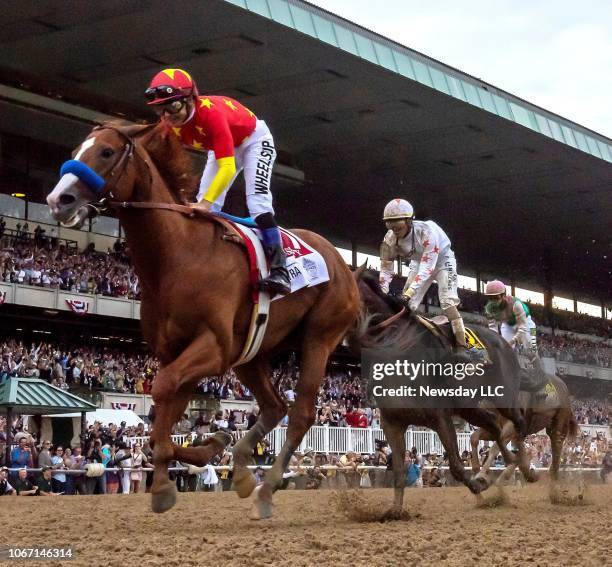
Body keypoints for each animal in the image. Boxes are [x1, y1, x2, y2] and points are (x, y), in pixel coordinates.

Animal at [51, 122, 364, 516]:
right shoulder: (177, 353)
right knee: (275, 406)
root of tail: (343, 264)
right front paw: (207, 448)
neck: (178, 254)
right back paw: (244, 471)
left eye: (106, 152)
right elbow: (163, 417)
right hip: (252, 353)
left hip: (318, 339)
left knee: (302, 412)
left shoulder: (213, 348)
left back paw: (266, 488)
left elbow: (162, 392)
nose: (58, 200)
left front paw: (168, 480)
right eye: (76, 150)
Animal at [352, 270, 532, 520]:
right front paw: (395, 511)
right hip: (468, 407)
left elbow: (455, 465)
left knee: (517, 422)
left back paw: (520, 464)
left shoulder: (440, 417)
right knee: (494, 426)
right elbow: (398, 471)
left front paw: (477, 486)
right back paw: (504, 464)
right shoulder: (392, 422)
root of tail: (505, 343)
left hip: (501, 397)